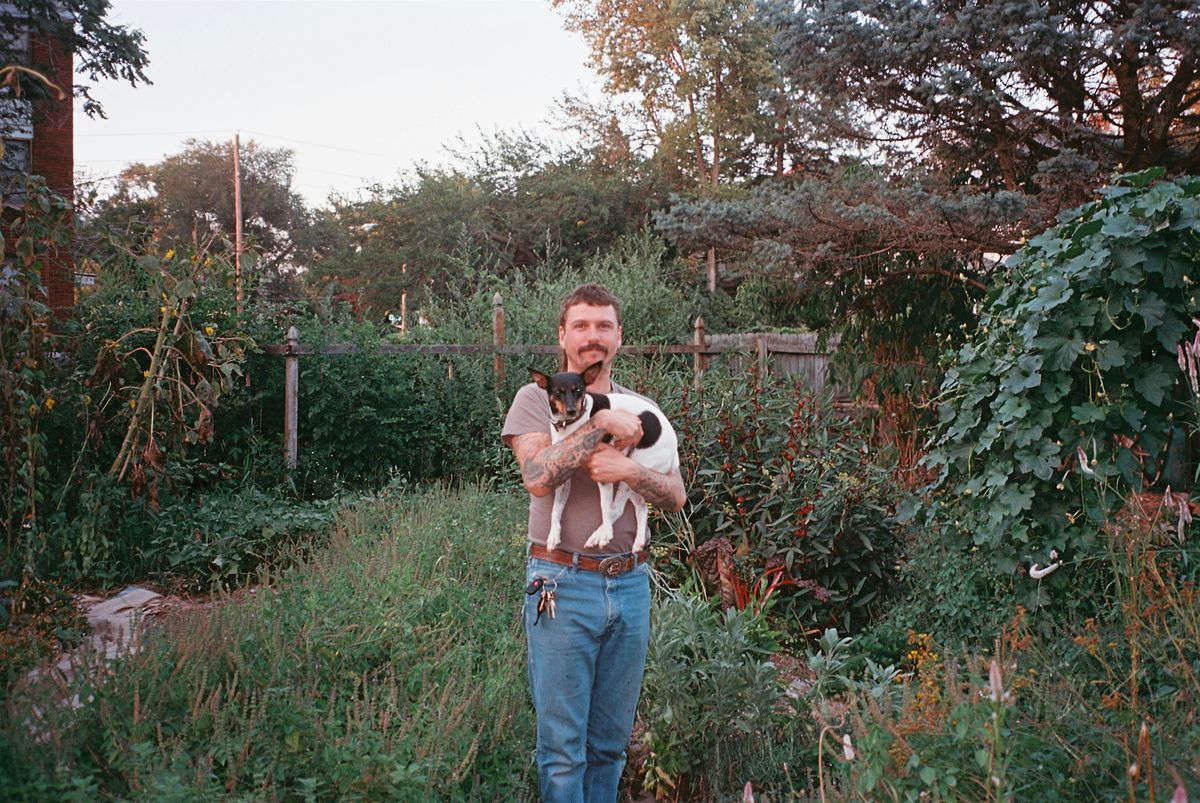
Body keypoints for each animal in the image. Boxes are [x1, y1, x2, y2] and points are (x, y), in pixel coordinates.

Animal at [530, 362, 681, 554]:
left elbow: (605, 508)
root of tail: (674, 450)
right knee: (641, 508)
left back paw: (599, 535)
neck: (571, 425)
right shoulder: (562, 475)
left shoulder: (604, 473)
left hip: (630, 471)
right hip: (635, 481)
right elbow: (556, 508)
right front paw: (553, 535)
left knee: (617, 509)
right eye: (558, 392)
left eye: (578, 390)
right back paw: (638, 541)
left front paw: (607, 535)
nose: (572, 411)